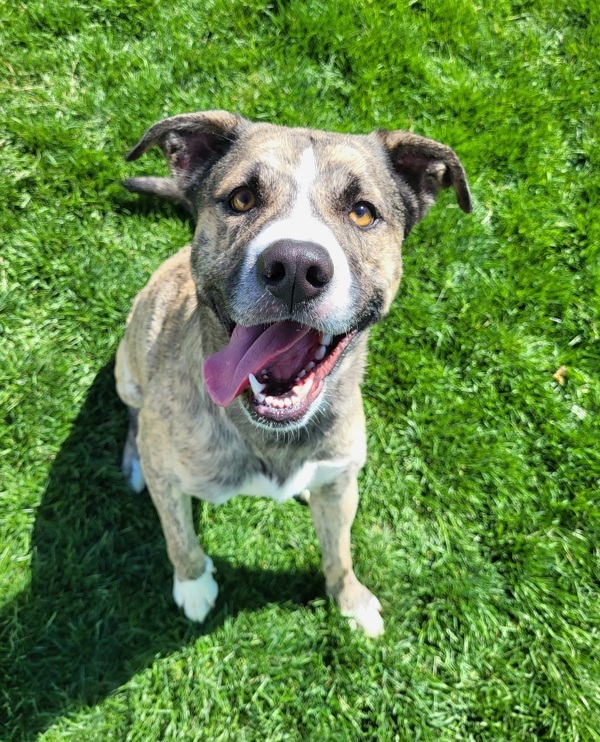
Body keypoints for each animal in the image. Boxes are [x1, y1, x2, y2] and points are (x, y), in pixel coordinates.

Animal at [115, 112, 472, 640]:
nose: (296, 268)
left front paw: (350, 600)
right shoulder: (170, 477)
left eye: (362, 212)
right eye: (242, 198)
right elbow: (179, 538)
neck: (270, 436)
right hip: (128, 366)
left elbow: (339, 553)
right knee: (134, 416)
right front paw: (193, 585)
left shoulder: (342, 485)